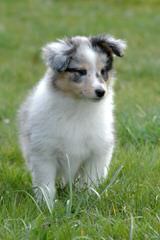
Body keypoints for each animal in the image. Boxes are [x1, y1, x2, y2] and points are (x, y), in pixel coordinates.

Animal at [18, 34, 126, 202]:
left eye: (103, 71)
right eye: (81, 71)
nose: (101, 92)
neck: (79, 107)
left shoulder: (98, 151)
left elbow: (90, 181)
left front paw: (88, 199)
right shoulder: (44, 152)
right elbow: (46, 184)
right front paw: (46, 204)